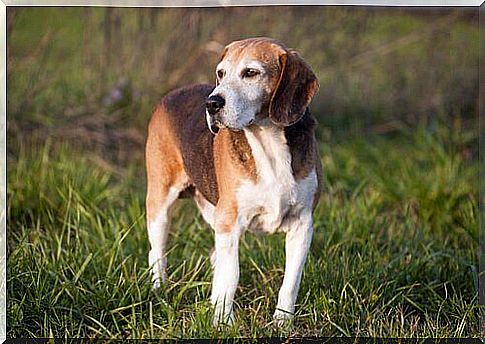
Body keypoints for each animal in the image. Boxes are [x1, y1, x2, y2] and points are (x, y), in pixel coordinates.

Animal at [146, 37, 324, 326]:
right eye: (221, 73)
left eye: (250, 72)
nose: (212, 103)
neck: (268, 142)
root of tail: (173, 94)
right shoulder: (230, 223)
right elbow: (231, 276)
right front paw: (222, 323)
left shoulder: (303, 223)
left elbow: (291, 281)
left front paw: (282, 323)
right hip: (160, 204)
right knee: (157, 252)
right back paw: (159, 288)